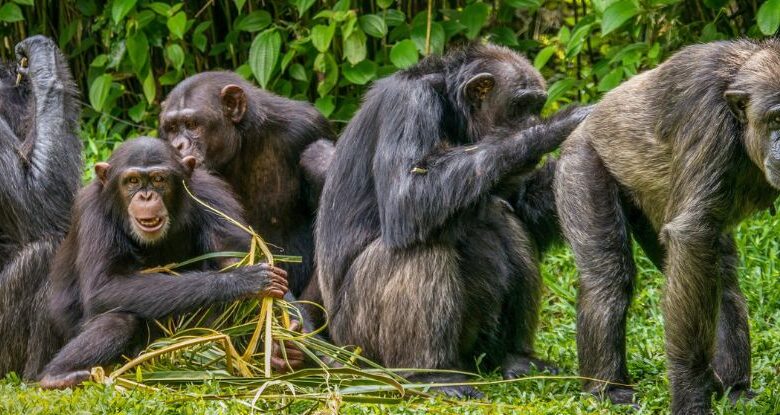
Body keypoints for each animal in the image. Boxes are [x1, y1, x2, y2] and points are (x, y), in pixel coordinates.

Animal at [40, 137, 290, 390]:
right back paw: (57, 376)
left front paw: (287, 340)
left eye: (159, 179)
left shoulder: (212, 196)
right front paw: (240, 281)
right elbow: (104, 286)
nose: (146, 196)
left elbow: (232, 255)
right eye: (132, 181)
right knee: (119, 320)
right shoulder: (94, 212)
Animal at [314, 42, 588, 396]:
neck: (451, 108)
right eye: (521, 106)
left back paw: (515, 358)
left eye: (536, 104)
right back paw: (431, 374)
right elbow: (408, 195)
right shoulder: (410, 104)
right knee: (421, 249)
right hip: (360, 344)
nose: (533, 117)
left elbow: (525, 206)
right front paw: (552, 128)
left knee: (505, 220)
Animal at [556, 37, 780, 414]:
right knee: (608, 277)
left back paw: (734, 387)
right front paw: (690, 395)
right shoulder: (706, 117)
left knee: (717, 275)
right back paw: (607, 389)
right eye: (777, 119)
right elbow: (692, 232)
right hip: (579, 165)